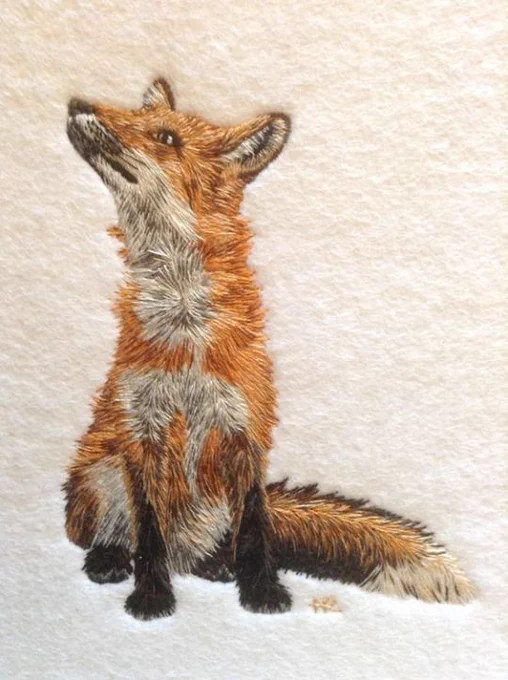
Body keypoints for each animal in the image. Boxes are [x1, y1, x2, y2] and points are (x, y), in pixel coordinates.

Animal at [64, 78, 475, 620]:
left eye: (165, 137)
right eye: (135, 115)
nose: (76, 103)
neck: (186, 333)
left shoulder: (246, 429)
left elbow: (256, 529)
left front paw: (261, 591)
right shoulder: (141, 429)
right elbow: (148, 534)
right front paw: (151, 597)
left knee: (218, 544)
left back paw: (218, 567)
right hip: (98, 471)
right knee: (115, 533)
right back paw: (110, 559)